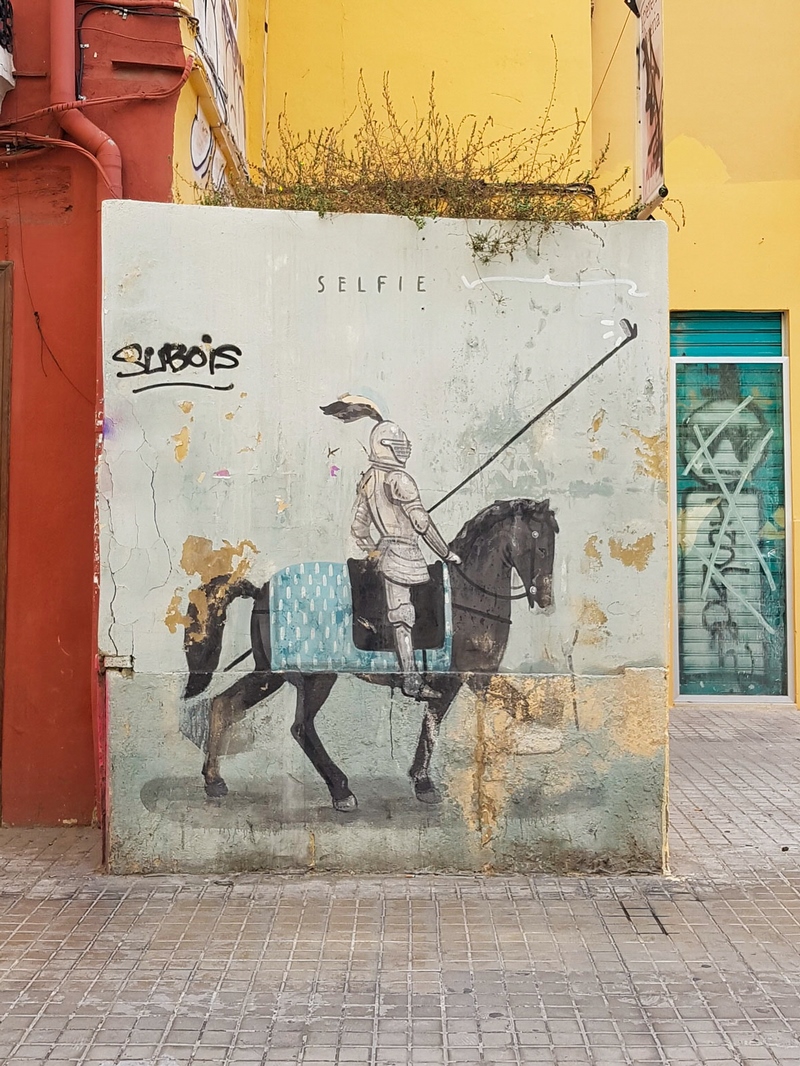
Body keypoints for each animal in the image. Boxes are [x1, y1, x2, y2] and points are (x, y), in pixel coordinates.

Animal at [182, 498, 558, 812]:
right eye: (538, 540)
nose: (544, 597)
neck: (469, 594)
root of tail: (262, 590)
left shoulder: (476, 679)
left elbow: (513, 706)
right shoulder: (457, 681)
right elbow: (437, 726)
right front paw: (424, 784)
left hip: (269, 673)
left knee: (224, 705)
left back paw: (214, 781)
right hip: (317, 677)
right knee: (301, 728)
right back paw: (341, 791)